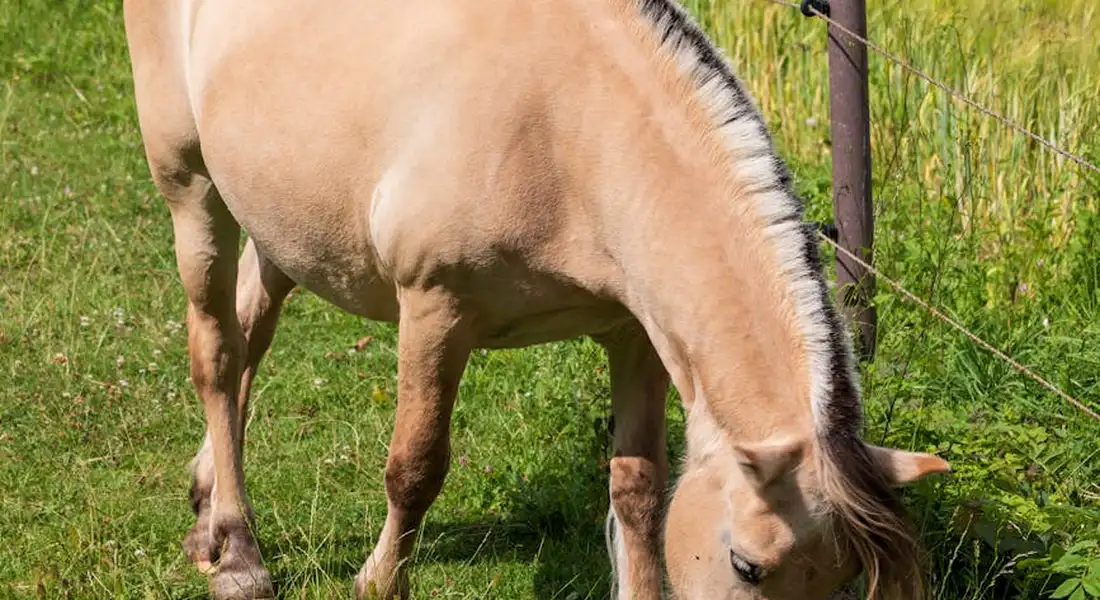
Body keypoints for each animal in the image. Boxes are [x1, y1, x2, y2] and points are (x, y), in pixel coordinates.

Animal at [121, 0, 950, 598]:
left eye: (841, 578)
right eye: (748, 564)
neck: (569, 128)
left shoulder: (636, 334)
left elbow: (638, 489)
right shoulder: (435, 312)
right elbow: (414, 468)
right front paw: (379, 581)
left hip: (280, 221)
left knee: (250, 336)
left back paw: (207, 514)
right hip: (191, 187)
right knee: (216, 355)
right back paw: (239, 555)